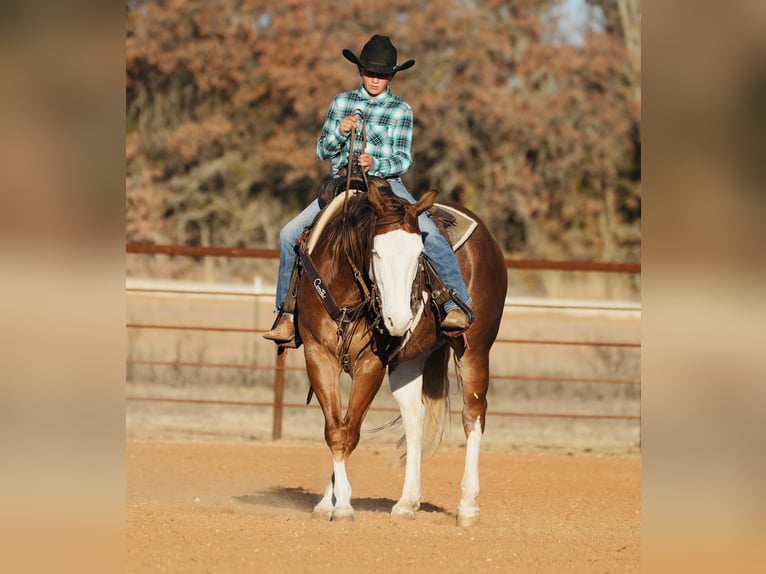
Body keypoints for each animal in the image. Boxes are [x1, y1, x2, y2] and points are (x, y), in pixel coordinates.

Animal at [294, 176, 507, 526]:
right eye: (376, 252)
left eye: (420, 253)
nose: (399, 319)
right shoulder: (318, 356)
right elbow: (337, 428)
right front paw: (329, 503)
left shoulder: (371, 363)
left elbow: (350, 430)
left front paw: (343, 506)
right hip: (410, 361)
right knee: (414, 419)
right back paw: (407, 502)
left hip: (475, 348)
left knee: (473, 414)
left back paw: (467, 506)